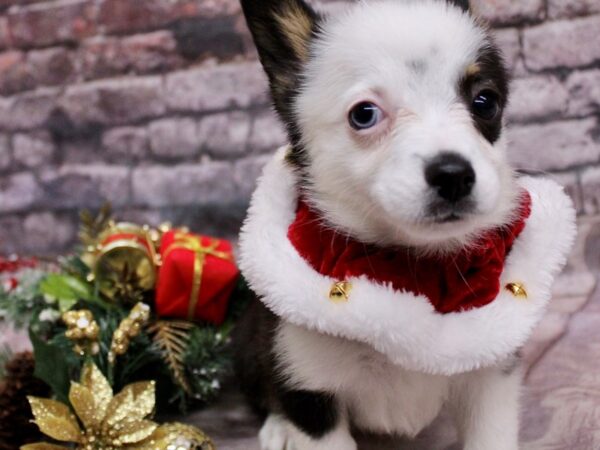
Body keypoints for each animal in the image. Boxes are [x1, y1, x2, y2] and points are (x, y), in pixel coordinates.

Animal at [232, 0, 576, 450]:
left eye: (485, 102)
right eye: (364, 115)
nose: (453, 175)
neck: (413, 268)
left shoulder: (490, 378)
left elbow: (491, 434)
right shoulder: (309, 385)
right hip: (252, 345)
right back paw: (278, 428)